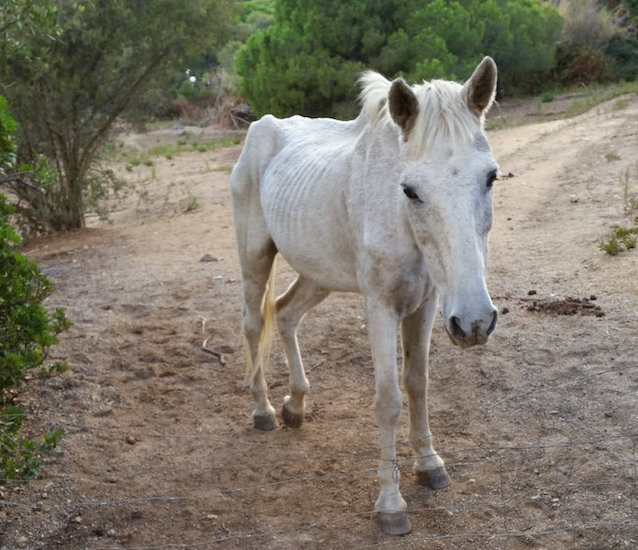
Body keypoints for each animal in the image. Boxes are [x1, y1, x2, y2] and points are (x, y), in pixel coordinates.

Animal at [229, 58, 500, 536]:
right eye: (410, 189)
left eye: (490, 176)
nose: (475, 323)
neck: (400, 220)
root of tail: (262, 126)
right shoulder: (380, 308)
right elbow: (388, 400)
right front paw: (390, 504)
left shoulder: (427, 305)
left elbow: (418, 383)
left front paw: (430, 464)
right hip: (255, 257)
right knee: (253, 324)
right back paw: (263, 411)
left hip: (317, 274)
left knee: (285, 314)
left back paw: (295, 405)